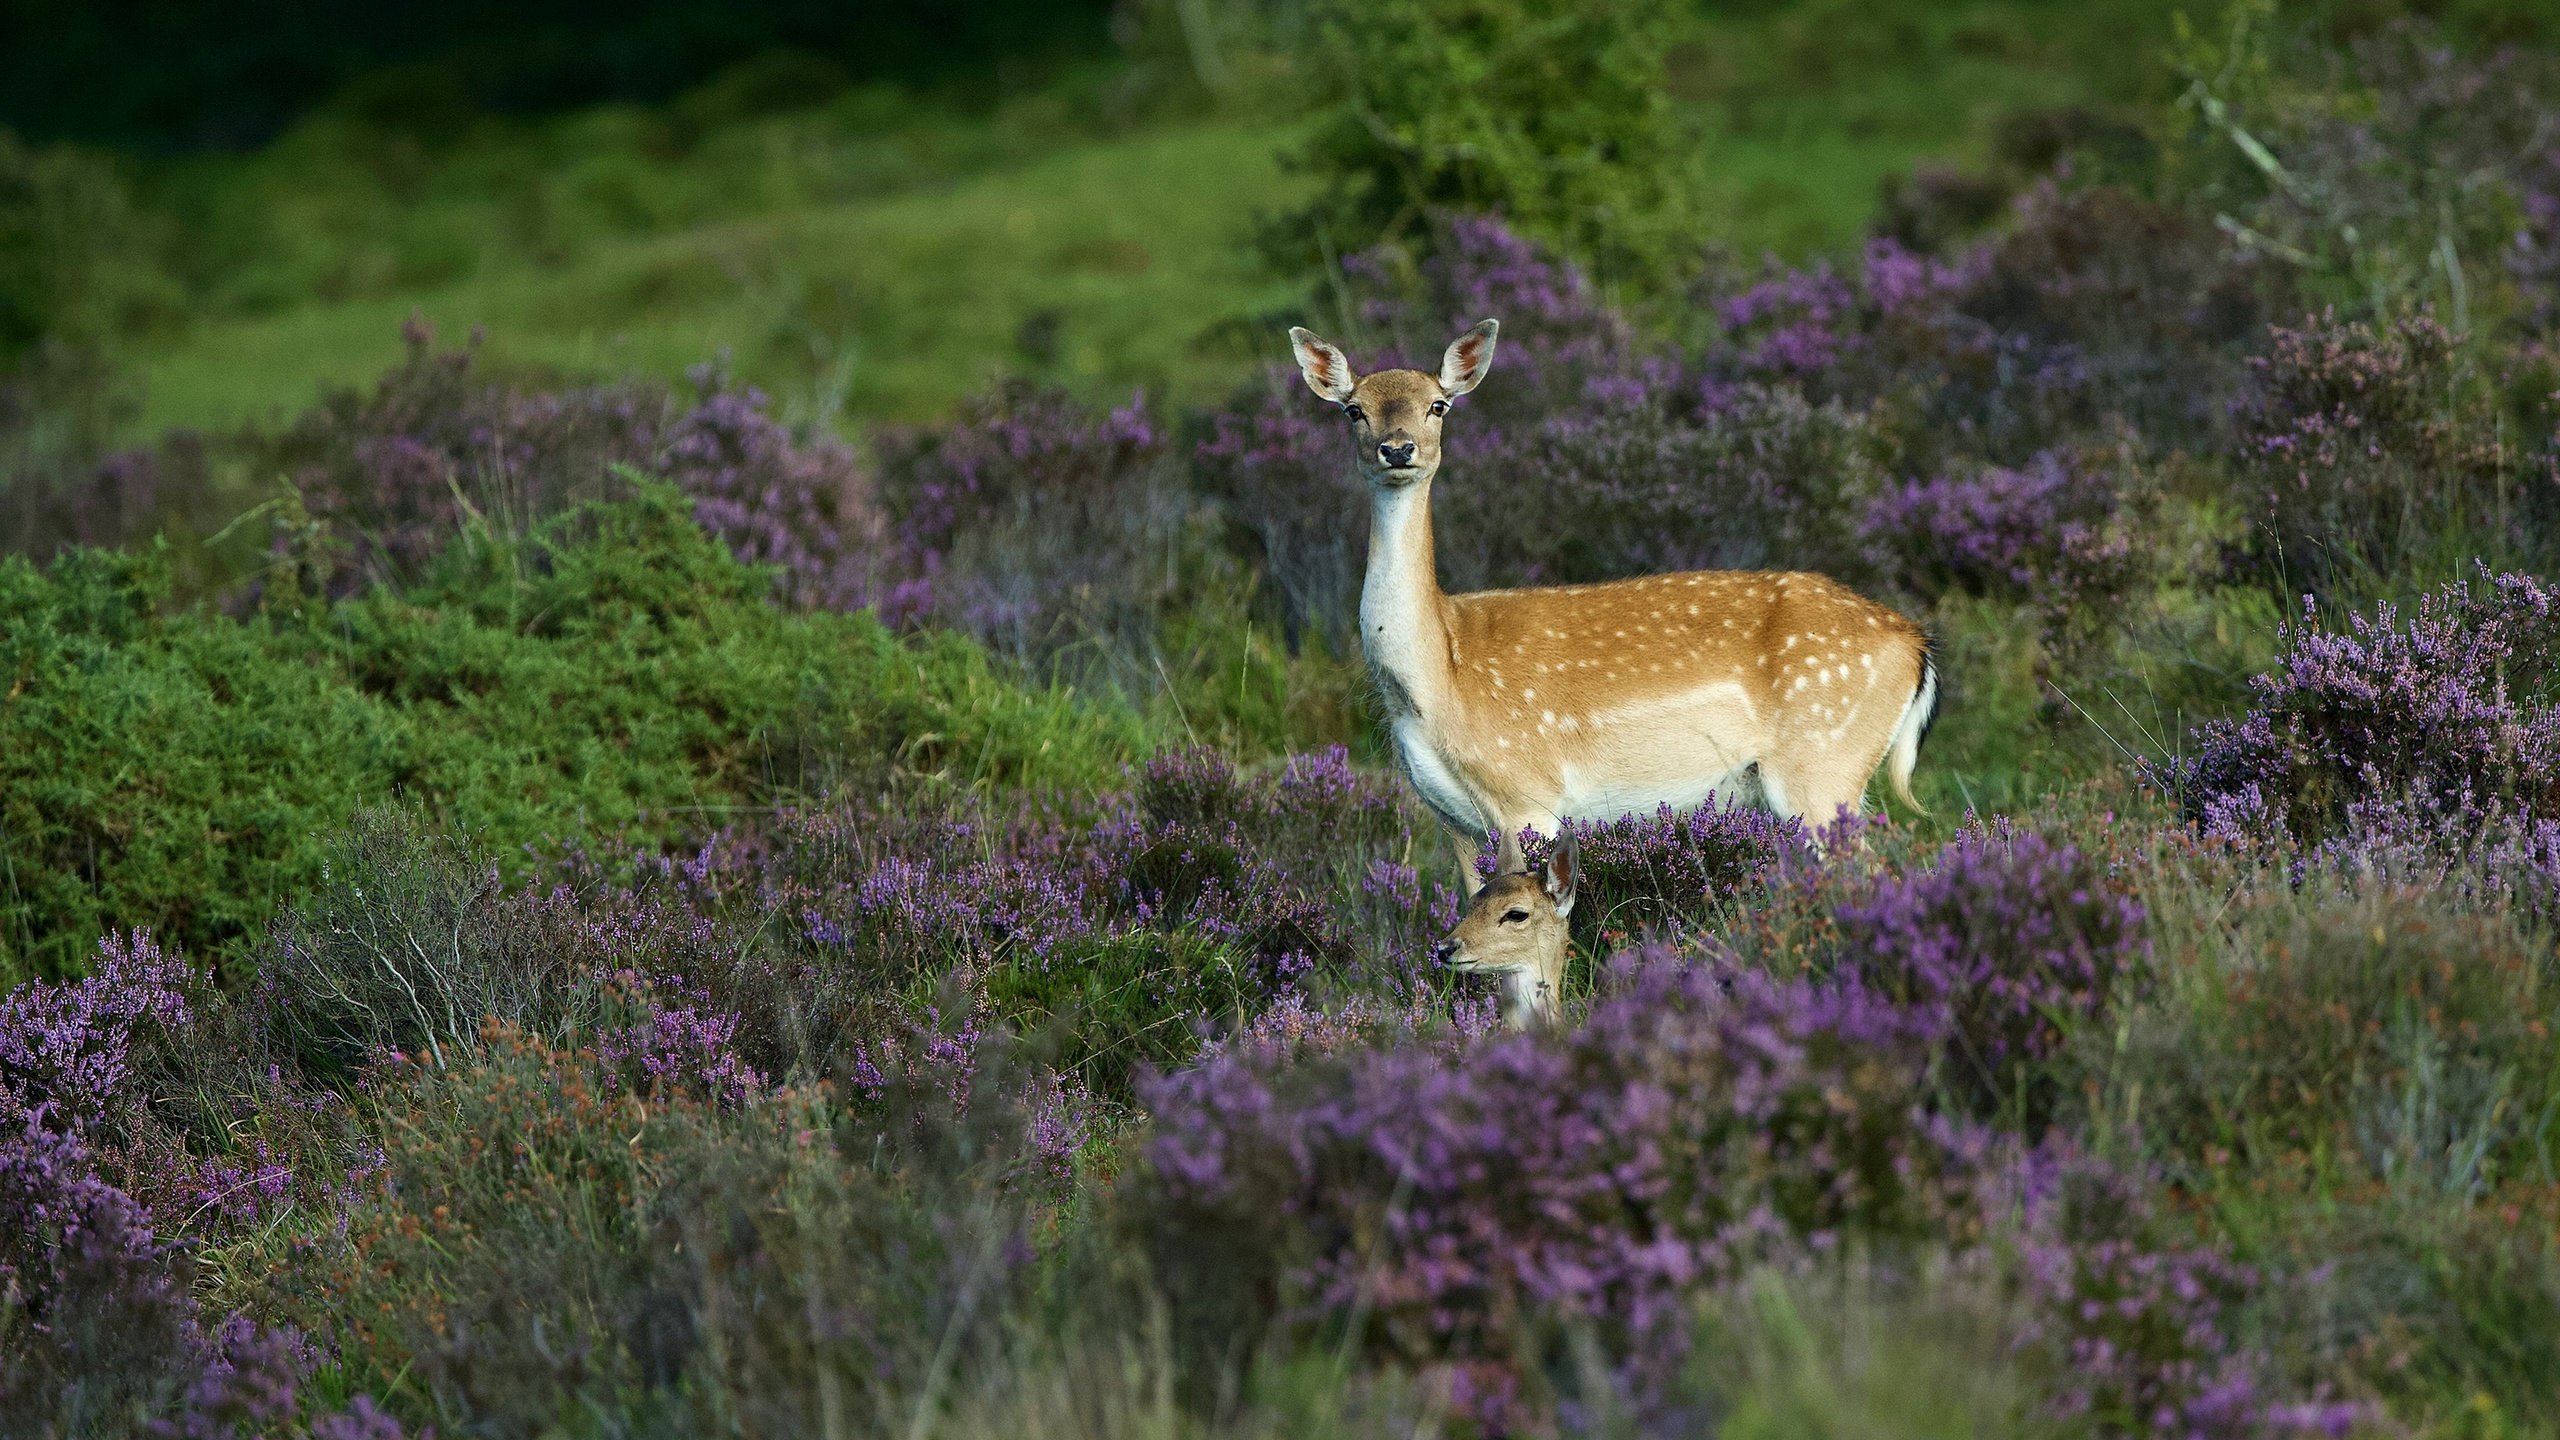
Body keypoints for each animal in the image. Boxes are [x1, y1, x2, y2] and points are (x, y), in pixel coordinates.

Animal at [1290, 313, 1925, 886]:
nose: (1397, 450)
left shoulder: (1529, 796)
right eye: (1353, 409)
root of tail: (1916, 646)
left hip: (1821, 764)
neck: (1437, 678)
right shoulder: (1452, 821)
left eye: (1438, 405)